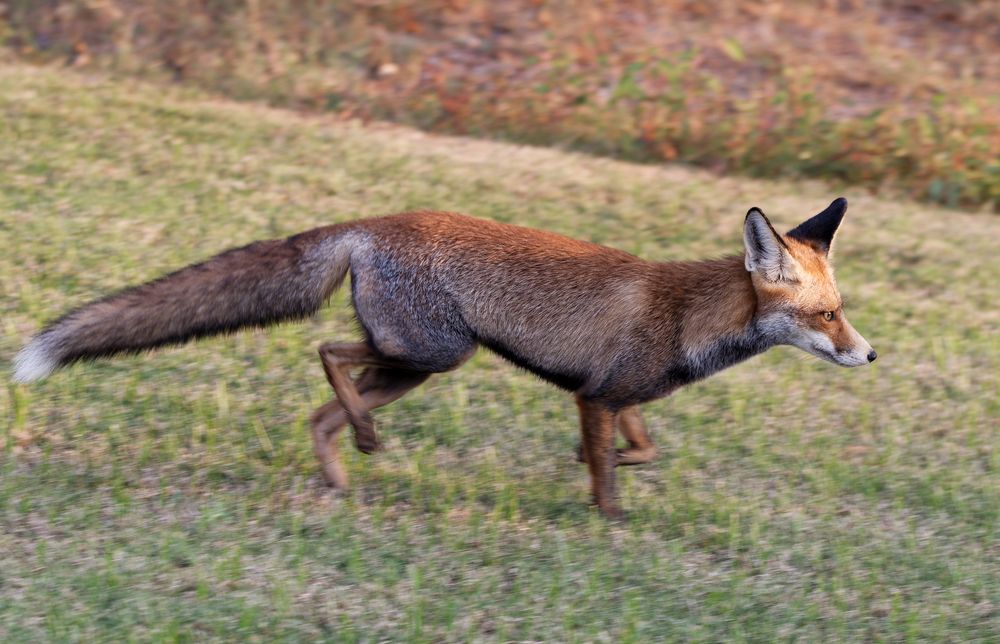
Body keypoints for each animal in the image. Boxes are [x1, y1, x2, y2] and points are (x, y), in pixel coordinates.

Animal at [13, 196, 876, 520]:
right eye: (827, 315)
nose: (869, 354)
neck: (687, 316)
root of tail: (373, 220)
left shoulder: (610, 395)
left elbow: (640, 447)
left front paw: (608, 468)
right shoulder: (596, 395)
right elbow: (608, 476)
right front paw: (610, 521)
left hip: (408, 366)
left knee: (319, 412)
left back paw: (341, 477)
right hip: (432, 353)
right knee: (327, 351)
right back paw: (364, 442)